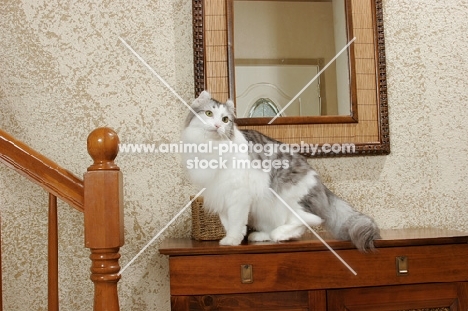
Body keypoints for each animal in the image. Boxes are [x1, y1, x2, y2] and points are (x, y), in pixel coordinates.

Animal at [180, 91, 380, 252]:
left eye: (225, 119)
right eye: (208, 113)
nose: (217, 126)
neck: (211, 148)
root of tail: (319, 182)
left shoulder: (238, 195)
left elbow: (236, 222)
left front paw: (232, 240)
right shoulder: (219, 193)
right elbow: (227, 222)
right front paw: (230, 238)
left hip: (288, 197)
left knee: (309, 220)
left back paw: (279, 234)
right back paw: (262, 236)